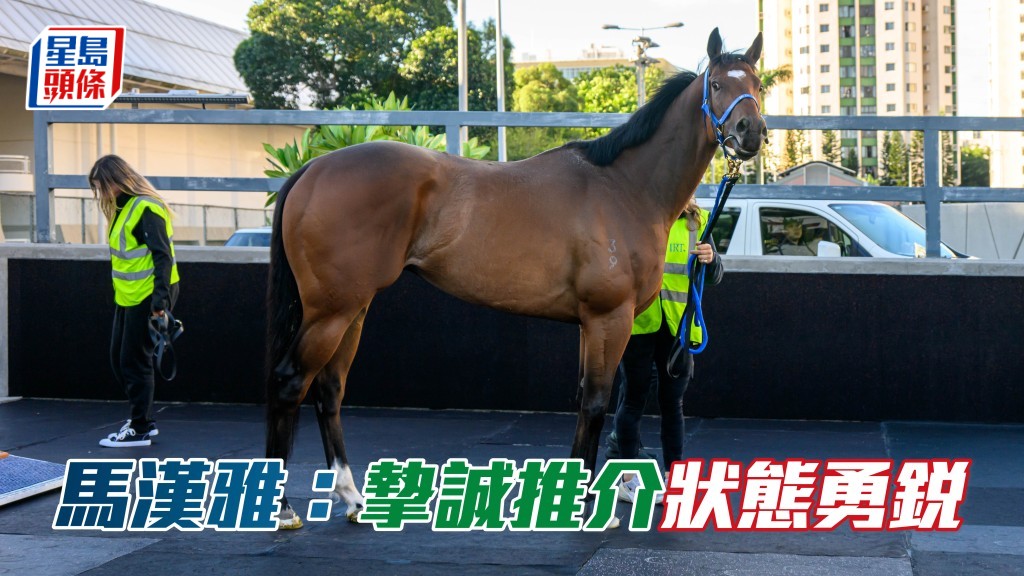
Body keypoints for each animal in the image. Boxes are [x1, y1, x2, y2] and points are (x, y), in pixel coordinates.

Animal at [265, 28, 767, 529]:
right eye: (716, 84)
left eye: (757, 84)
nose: (751, 132)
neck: (625, 187)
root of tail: (313, 168)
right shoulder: (610, 318)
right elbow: (597, 402)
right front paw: (585, 507)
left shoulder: (592, 324)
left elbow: (585, 397)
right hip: (331, 311)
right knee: (291, 381)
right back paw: (283, 506)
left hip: (354, 308)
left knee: (329, 388)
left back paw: (352, 498)